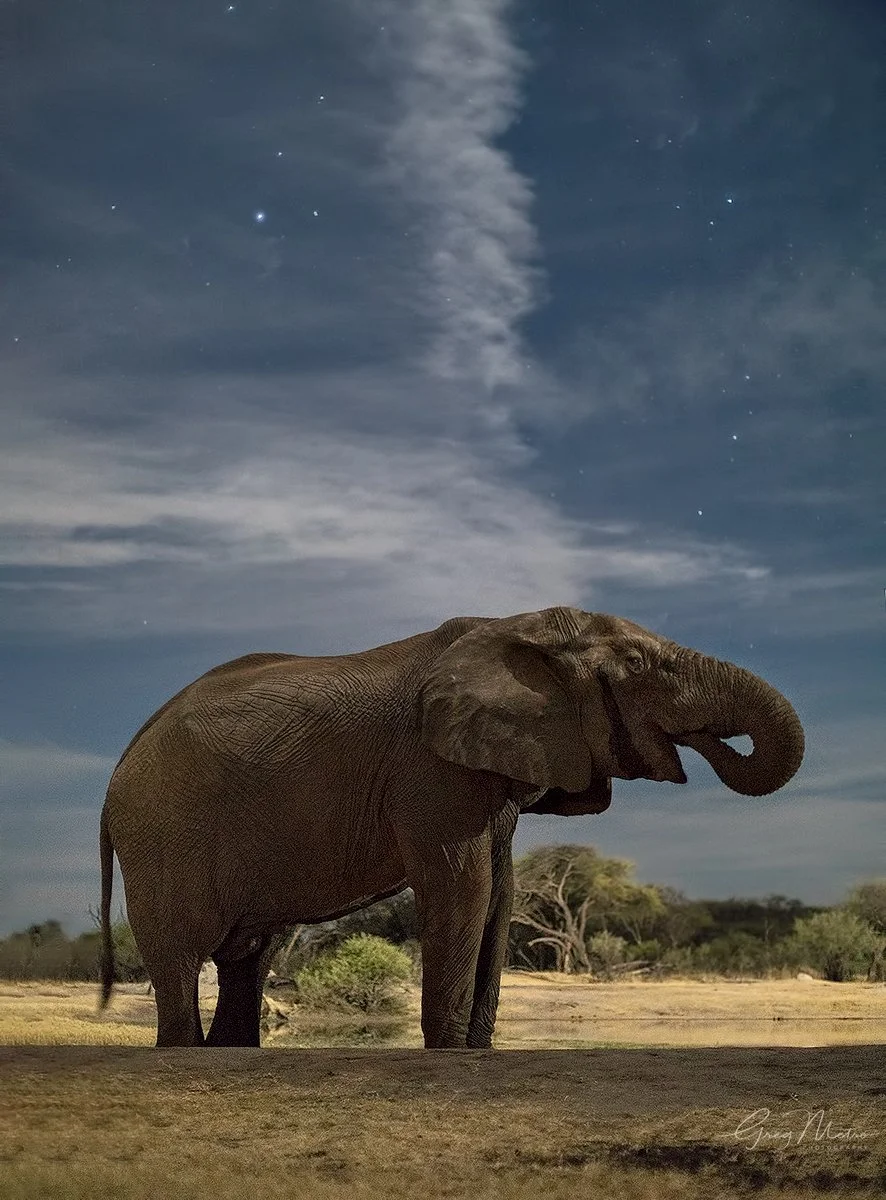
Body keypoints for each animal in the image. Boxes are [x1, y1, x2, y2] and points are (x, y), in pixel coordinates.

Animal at [98, 606, 804, 1048]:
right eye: (638, 665)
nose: (708, 745)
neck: (515, 628)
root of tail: (117, 772)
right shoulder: (432, 771)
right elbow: (463, 891)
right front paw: (450, 1052)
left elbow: (499, 896)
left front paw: (475, 1050)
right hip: (163, 833)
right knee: (181, 956)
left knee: (248, 958)